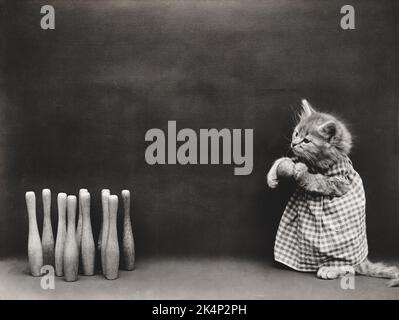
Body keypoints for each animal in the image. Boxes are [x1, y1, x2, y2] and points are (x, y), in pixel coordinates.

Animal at [268, 99, 399, 284]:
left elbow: (317, 180)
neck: (318, 163)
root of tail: (363, 260)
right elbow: (285, 160)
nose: (293, 144)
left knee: (351, 268)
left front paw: (302, 173)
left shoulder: (339, 182)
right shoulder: (298, 157)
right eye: (296, 134)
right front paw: (273, 175)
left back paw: (331, 269)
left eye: (306, 141)